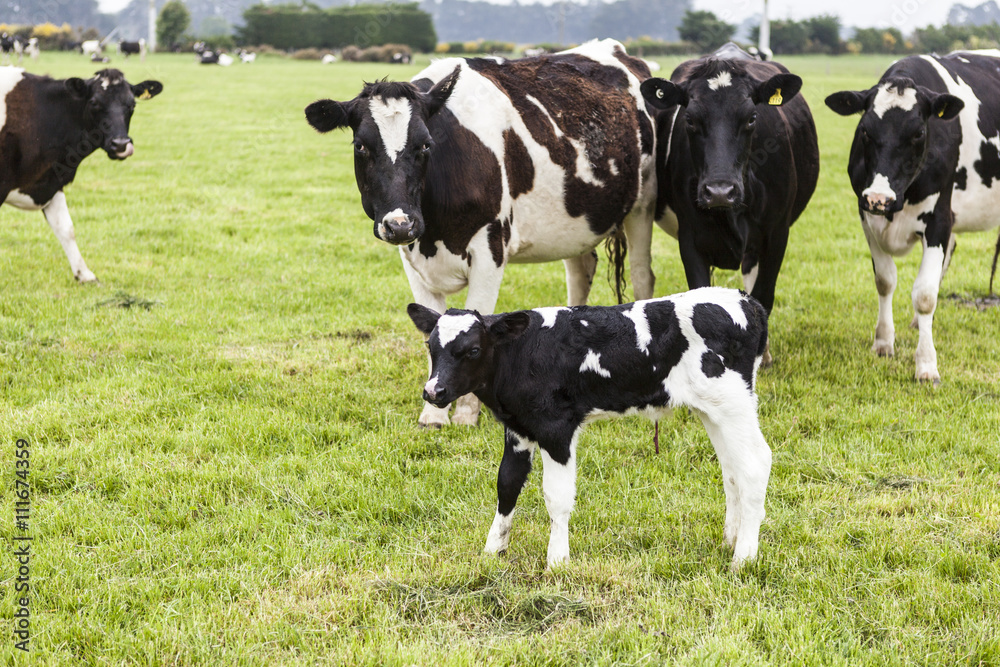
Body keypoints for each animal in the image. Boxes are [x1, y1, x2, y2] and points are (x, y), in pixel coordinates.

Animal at [0, 69, 163, 284]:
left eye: (132, 105)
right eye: (94, 102)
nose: (120, 144)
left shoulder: (51, 181)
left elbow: (66, 228)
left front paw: (84, 274)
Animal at [304, 40, 664, 428]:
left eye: (425, 145)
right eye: (361, 146)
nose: (400, 224)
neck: (435, 231)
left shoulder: (490, 248)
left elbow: (476, 320)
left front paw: (466, 413)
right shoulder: (411, 256)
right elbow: (431, 327)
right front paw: (434, 414)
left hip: (643, 204)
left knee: (642, 276)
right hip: (577, 221)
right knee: (580, 274)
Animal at [406, 284, 772, 572]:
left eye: (473, 349)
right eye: (430, 346)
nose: (433, 391)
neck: (522, 353)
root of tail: (745, 300)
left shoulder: (556, 427)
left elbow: (556, 496)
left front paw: (557, 561)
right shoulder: (518, 427)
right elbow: (507, 484)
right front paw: (492, 550)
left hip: (734, 403)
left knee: (755, 464)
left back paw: (743, 558)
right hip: (713, 410)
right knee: (731, 469)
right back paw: (730, 540)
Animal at [640, 45, 820, 366]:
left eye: (751, 118)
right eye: (690, 119)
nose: (720, 192)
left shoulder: (777, 233)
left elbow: (764, 295)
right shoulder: (690, 237)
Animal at [824, 51, 1000, 386]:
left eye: (918, 133)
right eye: (865, 129)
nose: (880, 198)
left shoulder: (940, 219)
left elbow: (925, 295)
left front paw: (927, 365)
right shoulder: (865, 213)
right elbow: (885, 280)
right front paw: (883, 342)